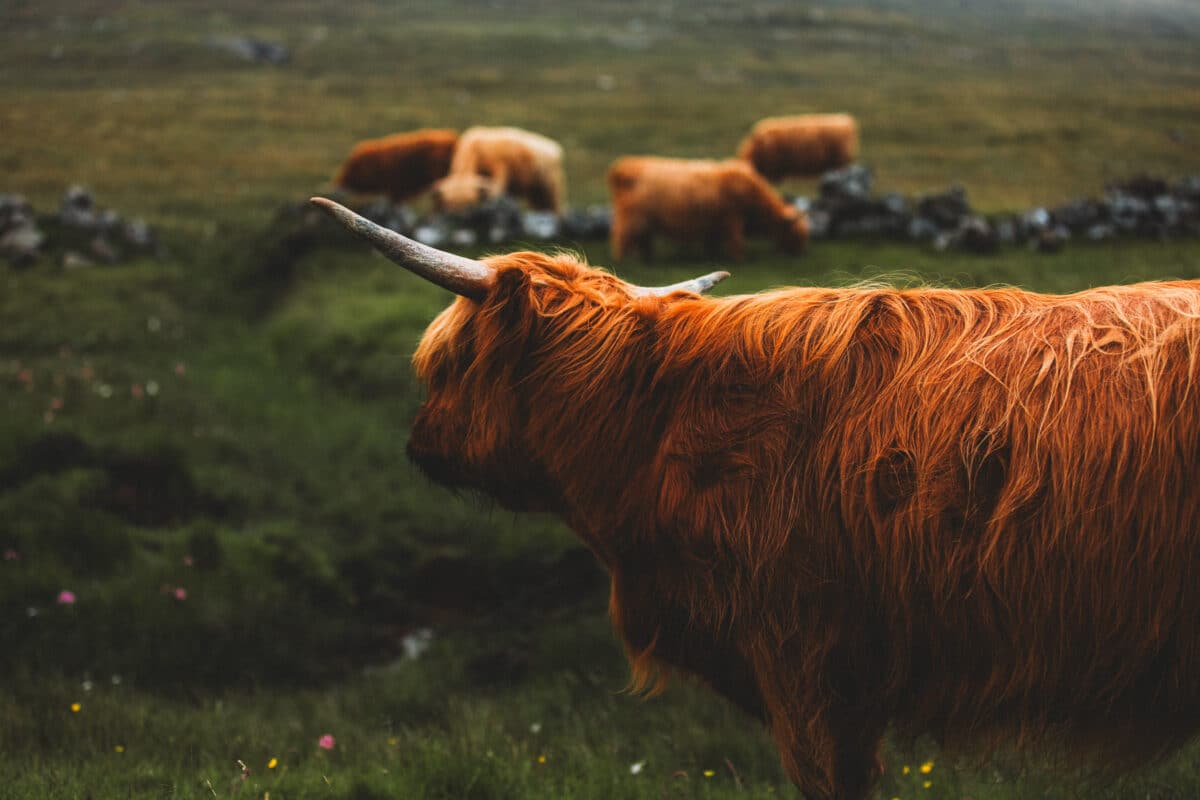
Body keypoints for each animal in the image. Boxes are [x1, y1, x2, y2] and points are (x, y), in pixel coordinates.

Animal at [432, 125, 566, 214]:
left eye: (470, 205)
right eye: (448, 204)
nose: (457, 216)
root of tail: (554, 147)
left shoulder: (500, 169)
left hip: (551, 191)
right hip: (537, 195)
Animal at [604, 158, 811, 262]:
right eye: (794, 233)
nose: (800, 254)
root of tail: (626, 166)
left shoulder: (714, 226)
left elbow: (712, 244)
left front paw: (712, 257)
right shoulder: (732, 221)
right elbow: (736, 243)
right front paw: (739, 259)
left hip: (645, 223)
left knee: (643, 241)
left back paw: (646, 258)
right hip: (632, 219)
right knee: (621, 237)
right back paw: (623, 261)